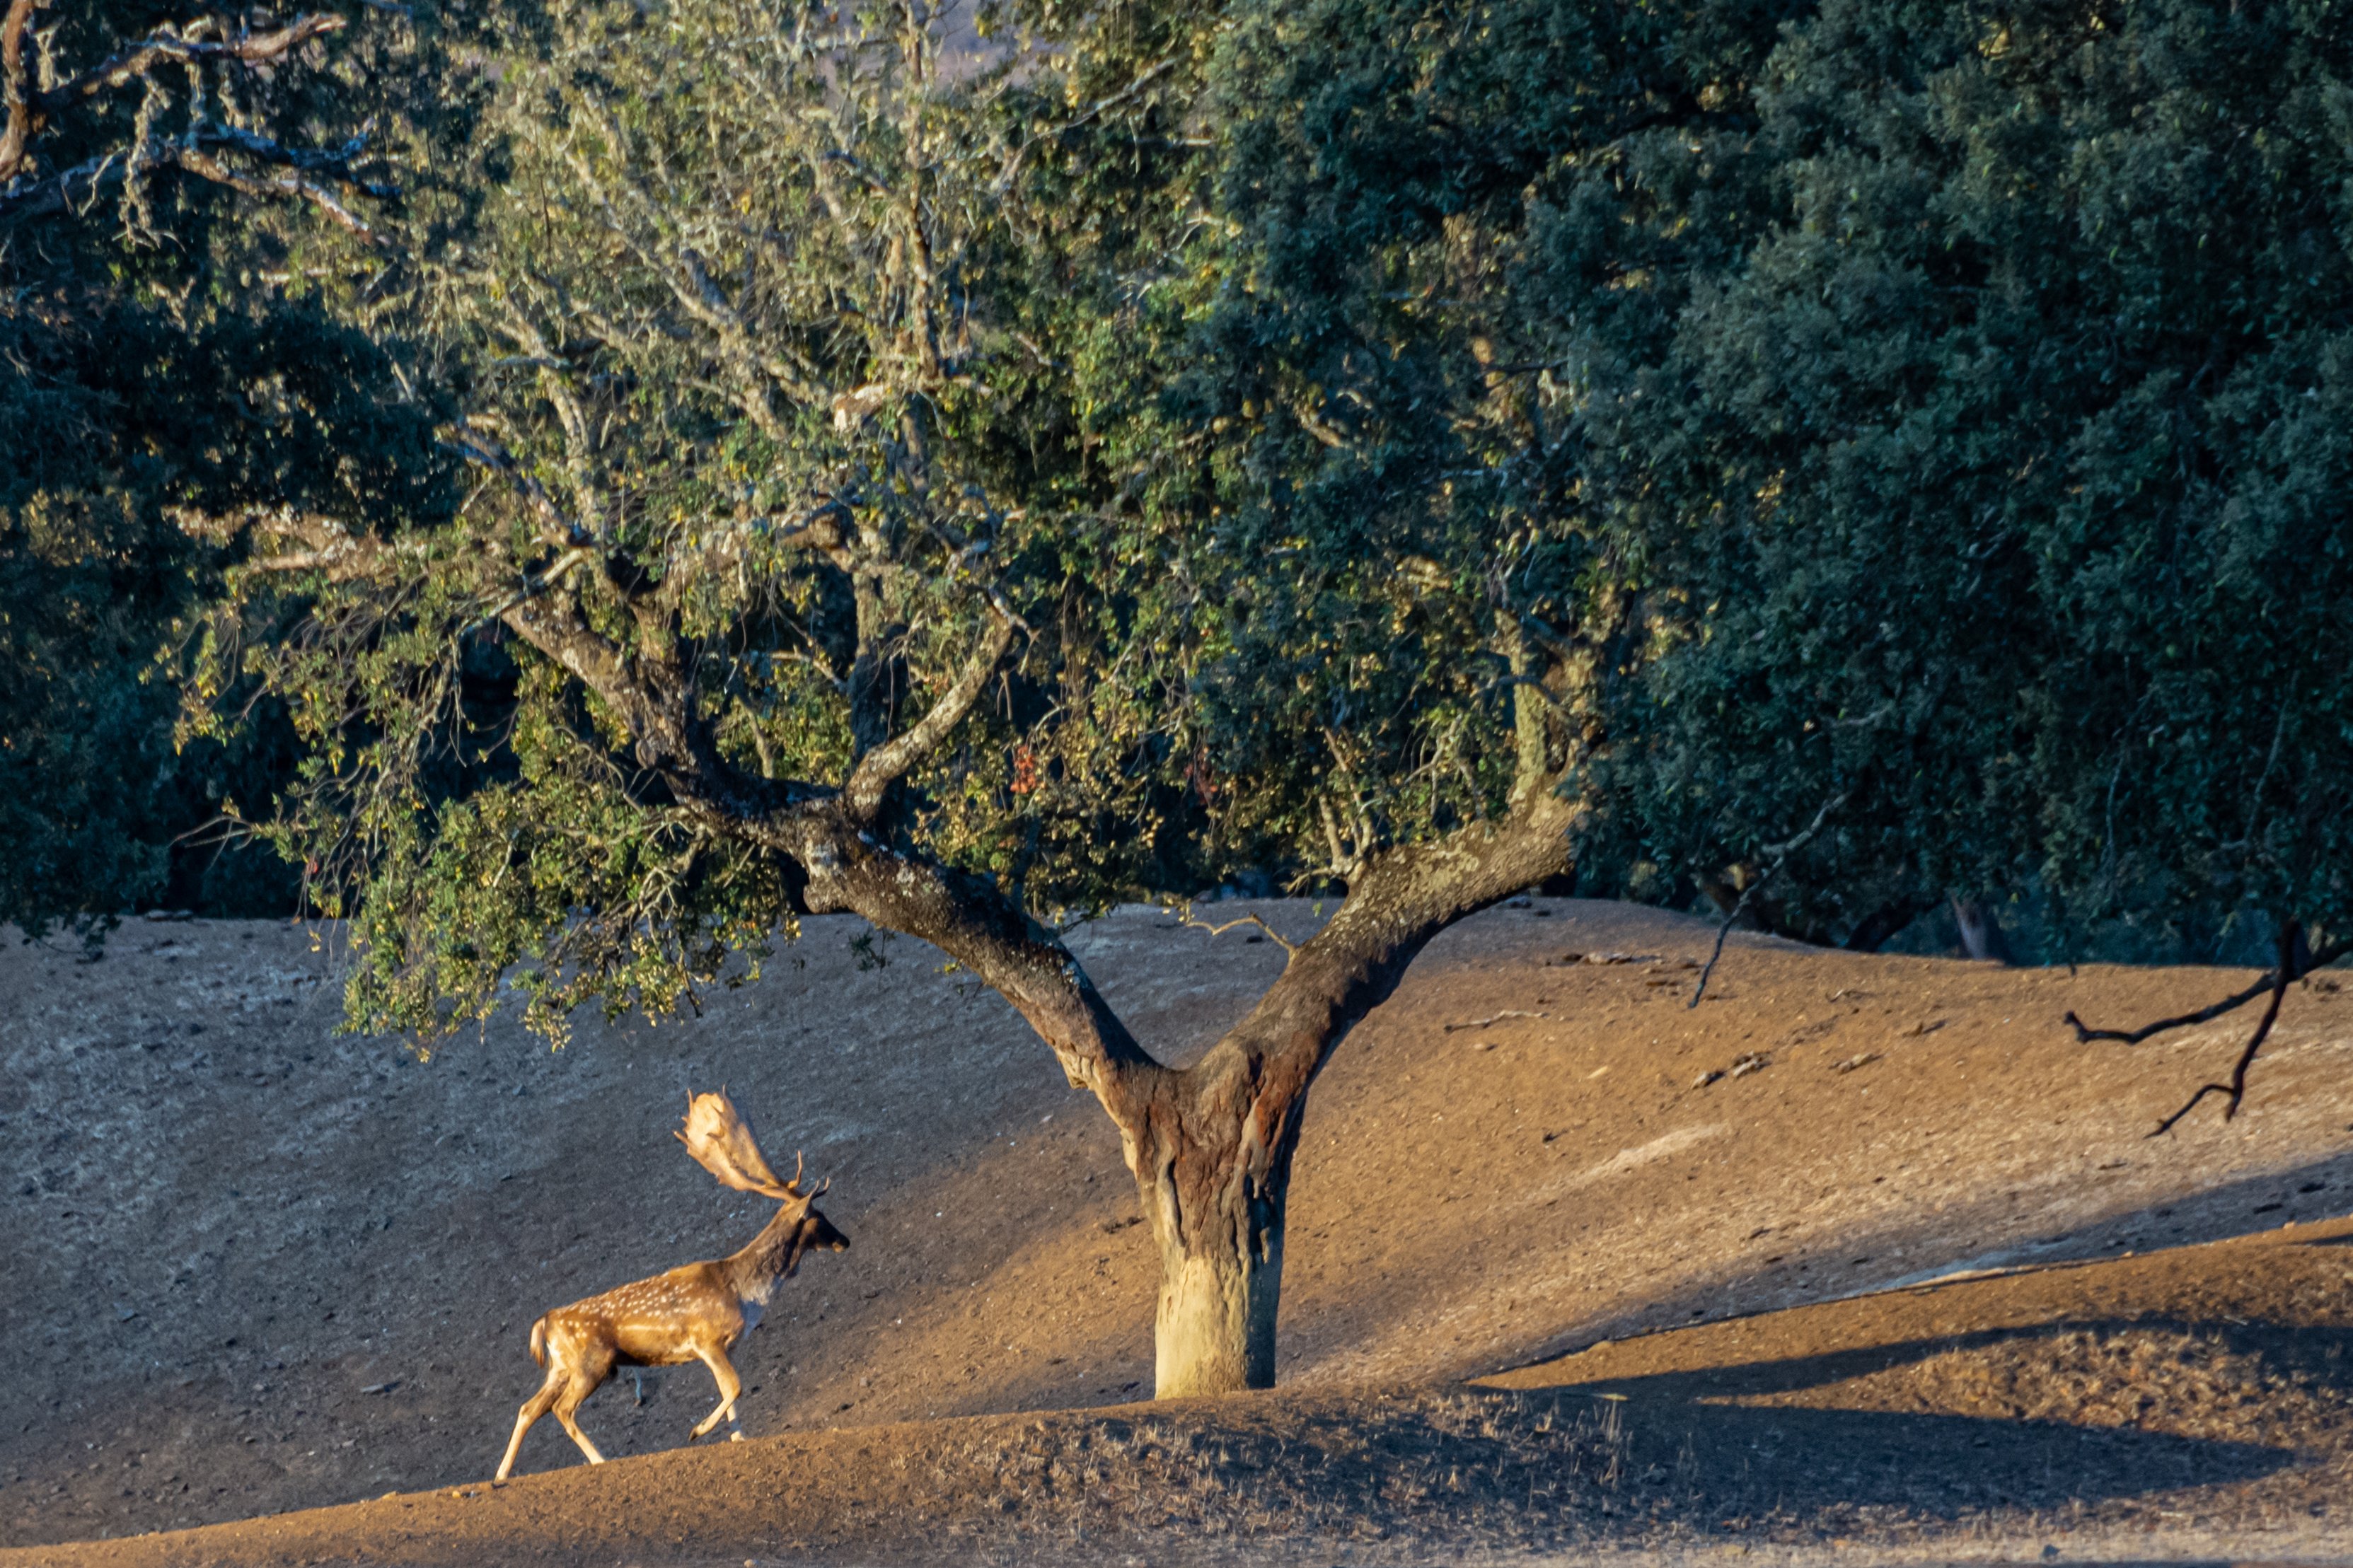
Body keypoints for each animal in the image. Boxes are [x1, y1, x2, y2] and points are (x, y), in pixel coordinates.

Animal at [496, 1091, 856, 1485]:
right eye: (819, 1218)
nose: (845, 1241)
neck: (744, 1294)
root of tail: (546, 1321)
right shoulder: (706, 1339)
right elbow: (734, 1386)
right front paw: (697, 1430)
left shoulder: (724, 1347)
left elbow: (729, 1390)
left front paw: (738, 1437)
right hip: (592, 1362)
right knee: (562, 1409)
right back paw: (600, 1460)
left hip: (561, 1367)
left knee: (529, 1408)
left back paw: (500, 1476)